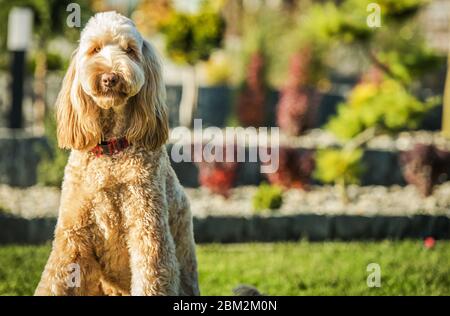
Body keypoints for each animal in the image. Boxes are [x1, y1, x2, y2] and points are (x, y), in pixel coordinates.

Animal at [36, 10, 200, 296]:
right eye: (94, 49)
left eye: (130, 50)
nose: (110, 77)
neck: (111, 149)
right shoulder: (72, 235)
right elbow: (53, 281)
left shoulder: (149, 235)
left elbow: (150, 278)